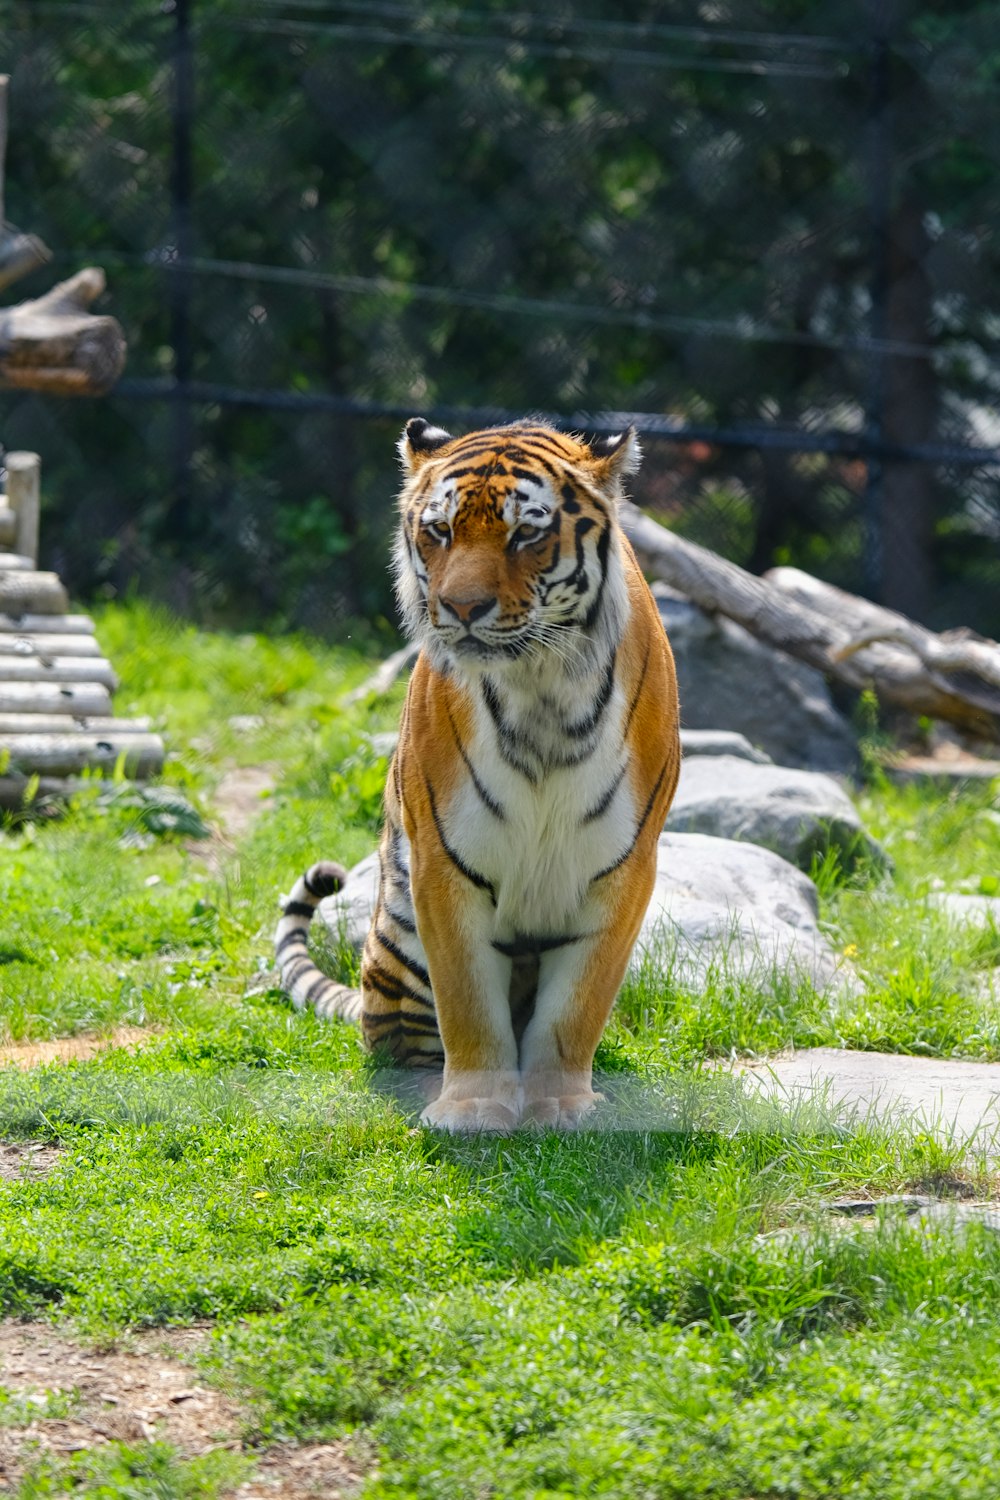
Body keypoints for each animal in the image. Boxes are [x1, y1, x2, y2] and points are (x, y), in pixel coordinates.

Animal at [275, 417, 680, 1128]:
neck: (540, 688)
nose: (461, 608)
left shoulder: (624, 867)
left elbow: (575, 1008)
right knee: (402, 1044)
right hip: (398, 940)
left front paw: (560, 1104)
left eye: (527, 533)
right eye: (439, 530)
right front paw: (472, 1109)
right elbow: (467, 1001)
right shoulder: (444, 861)